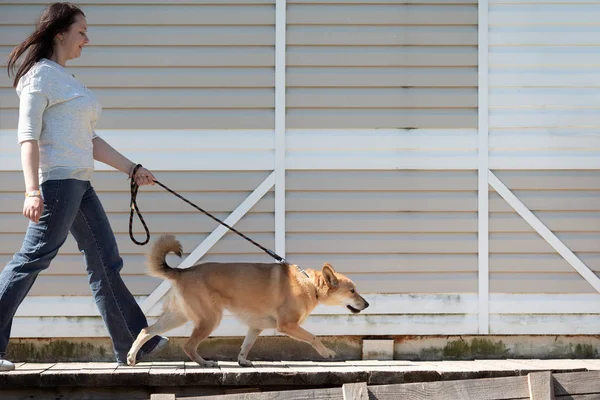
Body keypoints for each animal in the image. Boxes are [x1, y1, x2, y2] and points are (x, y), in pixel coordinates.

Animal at [127, 234, 366, 368]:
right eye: (352, 291)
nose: (367, 304)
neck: (310, 284)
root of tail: (181, 271)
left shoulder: (255, 327)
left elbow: (246, 345)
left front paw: (242, 361)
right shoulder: (288, 325)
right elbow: (313, 337)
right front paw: (327, 353)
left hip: (177, 316)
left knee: (146, 331)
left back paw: (130, 358)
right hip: (210, 319)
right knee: (188, 345)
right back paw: (205, 363)